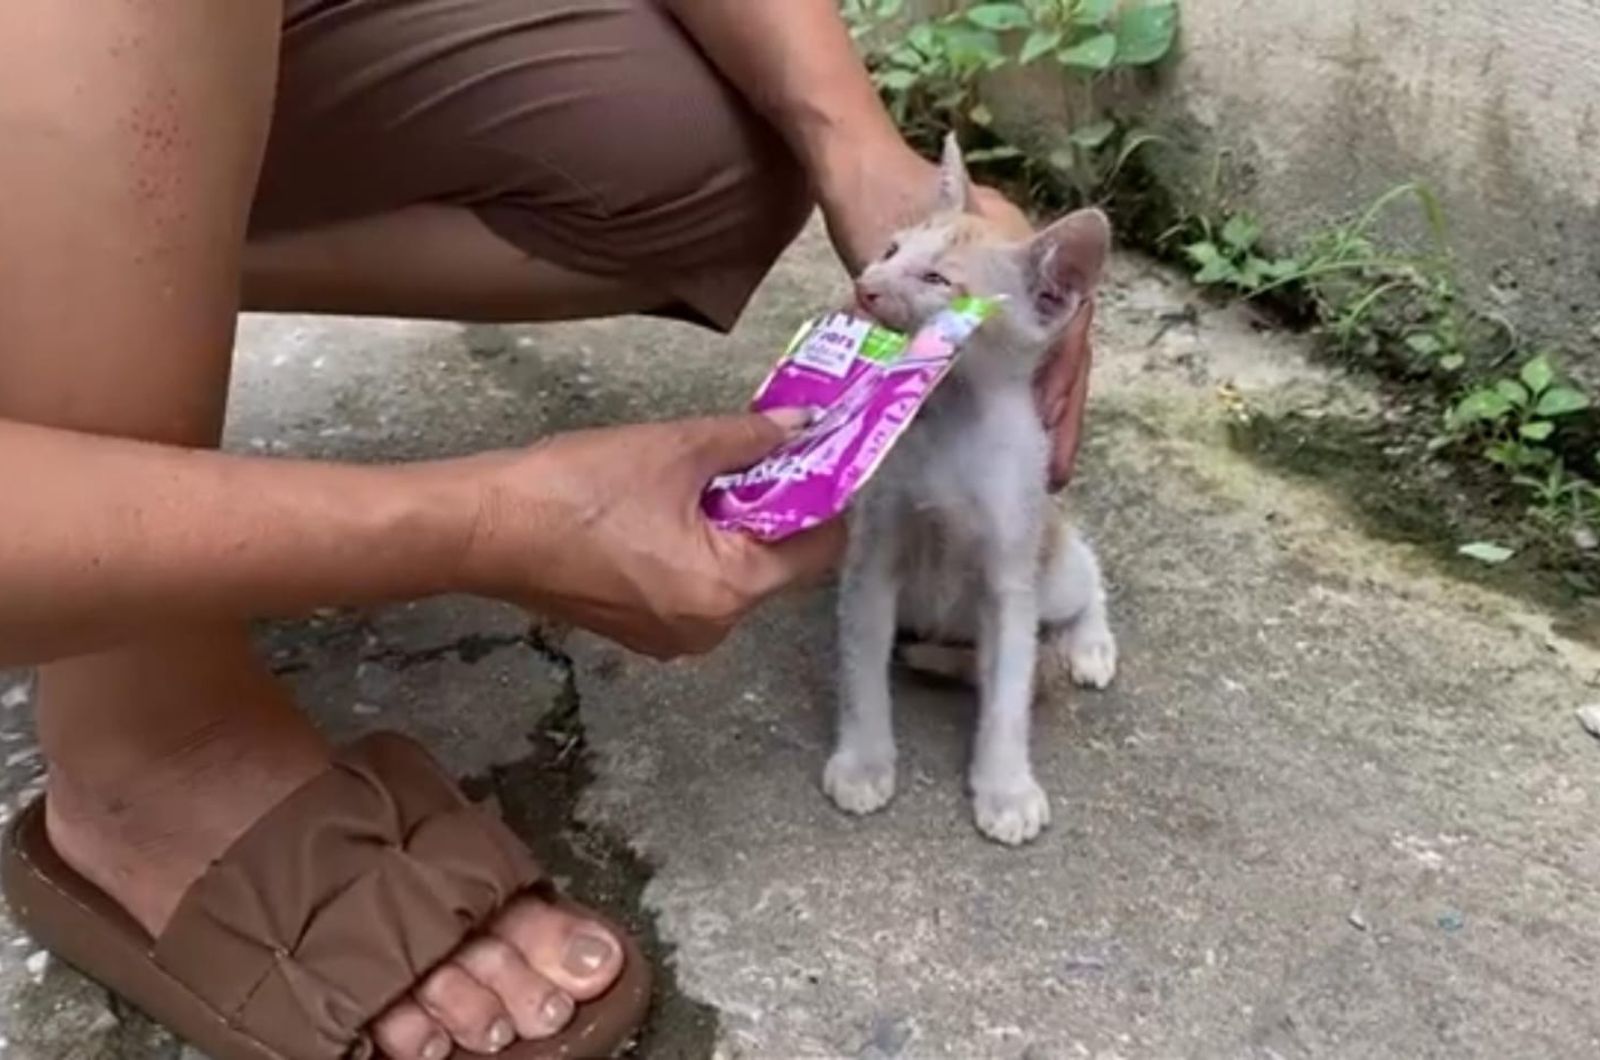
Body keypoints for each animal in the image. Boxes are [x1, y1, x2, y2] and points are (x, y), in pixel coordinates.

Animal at [819, 135, 1120, 845]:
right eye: (891, 251)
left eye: (938, 280)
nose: (867, 286)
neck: (947, 417)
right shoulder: (872, 558)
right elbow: (862, 665)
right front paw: (864, 760)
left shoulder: (1012, 581)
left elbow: (1009, 690)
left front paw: (1006, 788)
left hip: (1049, 557)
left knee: (1087, 574)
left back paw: (1091, 642)